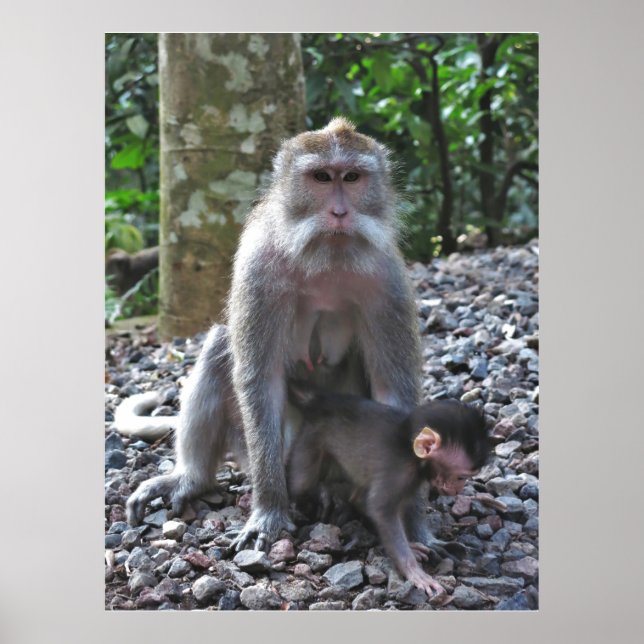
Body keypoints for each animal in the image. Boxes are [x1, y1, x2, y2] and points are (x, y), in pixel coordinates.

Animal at [120, 118, 428, 552]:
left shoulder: (388, 281)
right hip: (258, 446)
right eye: (321, 177)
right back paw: (192, 478)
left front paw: (412, 523)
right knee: (220, 346)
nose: (339, 212)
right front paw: (269, 511)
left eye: (352, 177)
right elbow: (260, 380)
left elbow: (393, 390)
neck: (325, 262)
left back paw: (333, 494)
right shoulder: (258, 269)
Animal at [285, 383, 490, 598]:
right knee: (302, 483)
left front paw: (411, 546)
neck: (409, 448)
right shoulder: (400, 472)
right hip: (310, 438)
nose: (458, 489)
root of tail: (321, 401)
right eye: (460, 477)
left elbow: (368, 504)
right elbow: (380, 510)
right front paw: (413, 571)